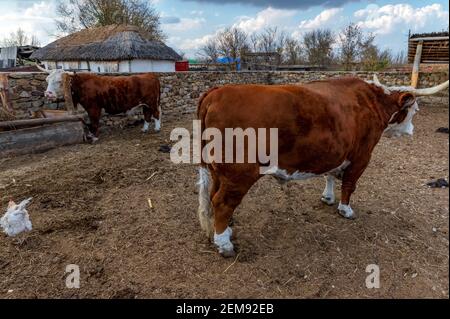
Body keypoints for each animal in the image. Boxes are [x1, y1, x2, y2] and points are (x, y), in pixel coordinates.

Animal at [197, 76, 450, 258]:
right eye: (414, 110)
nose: (412, 131)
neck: (371, 102)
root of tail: (216, 92)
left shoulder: (335, 151)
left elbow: (330, 175)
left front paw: (328, 198)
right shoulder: (362, 156)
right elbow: (349, 184)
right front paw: (345, 209)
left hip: (217, 170)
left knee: (212, 197)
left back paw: (224, 231)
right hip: (239, 173)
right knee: (223, 202)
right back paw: (224, 244)